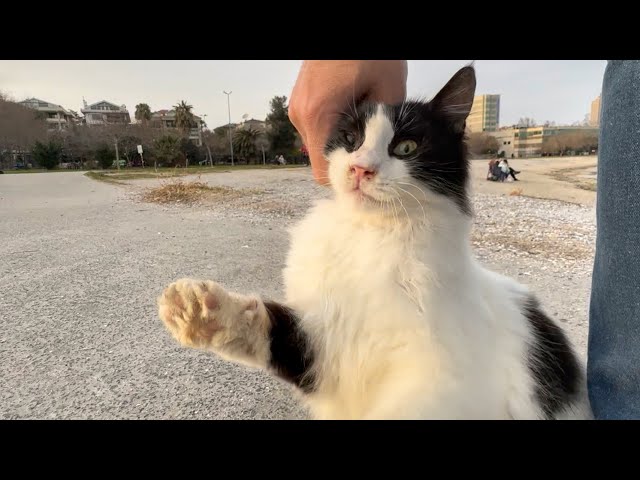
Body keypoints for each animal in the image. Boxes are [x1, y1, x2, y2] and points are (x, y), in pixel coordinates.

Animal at [158, 65, 592, 418]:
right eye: (350, 140)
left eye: (406, 147)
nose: (360, 169)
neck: (371, 234)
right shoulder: (328, 351)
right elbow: (269, 327)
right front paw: (199, 309)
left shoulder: (439, 383)